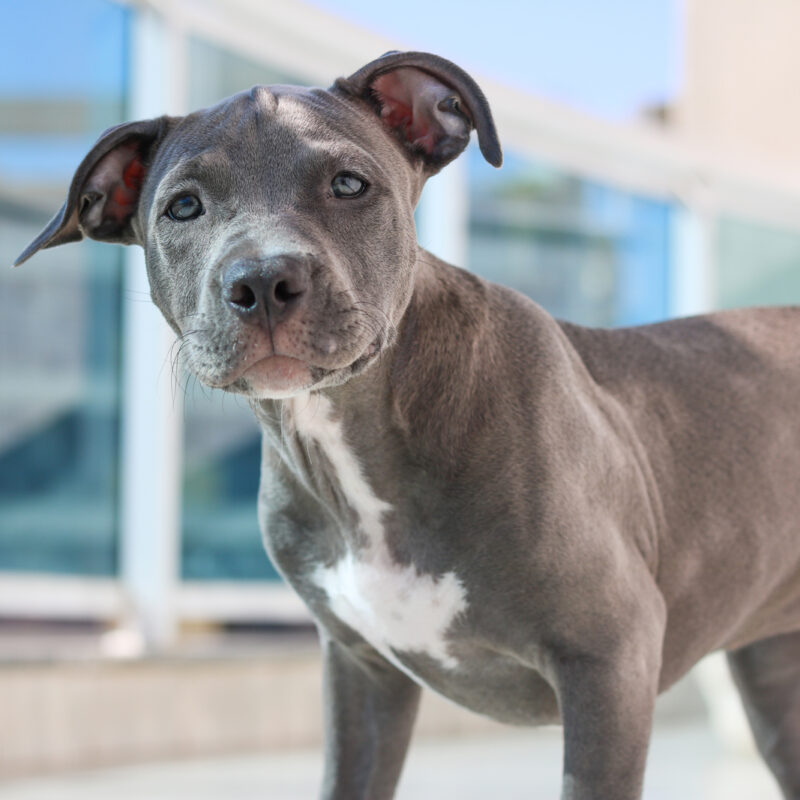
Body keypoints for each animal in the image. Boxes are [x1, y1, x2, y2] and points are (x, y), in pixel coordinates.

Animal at [14, 53, 800, 796]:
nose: (262, 281)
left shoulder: (609, 659)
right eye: (183, 206)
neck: (356, 438)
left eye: (348, 184)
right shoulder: (361, 676)